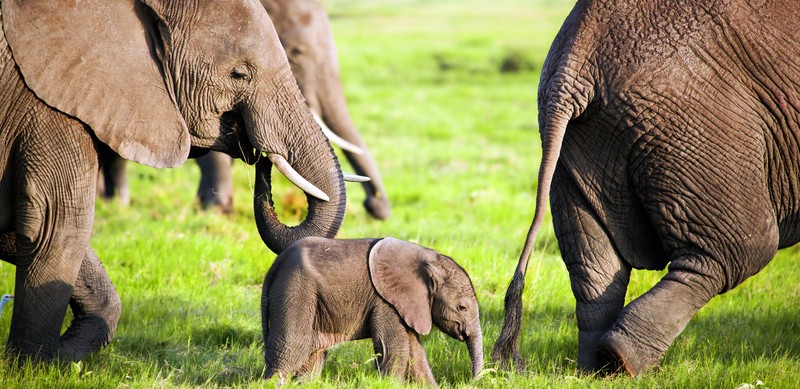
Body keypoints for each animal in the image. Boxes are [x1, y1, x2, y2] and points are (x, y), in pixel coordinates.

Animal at [0, 0, 350, 360]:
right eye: (239, 74)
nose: (260, 154)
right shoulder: (48, 107)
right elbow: (57, 224)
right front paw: (34, 364)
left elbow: (22, 231)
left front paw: (61, 355)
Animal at [266, 236, 484, 384]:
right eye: (462, 307)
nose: (472, 381)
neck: (427, 257)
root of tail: (276, 264)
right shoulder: (385, 301)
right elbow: (395, 349)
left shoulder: (404, 304)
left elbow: (416, 353)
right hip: (295, 289)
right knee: (292, 347)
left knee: (312, 355)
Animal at [494, 0, 800, 378]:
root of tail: (574, 61)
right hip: (694, 123)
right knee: (739, 249)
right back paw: (624, 360)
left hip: (578, 144)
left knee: (594, 267)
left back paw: (597, 369)